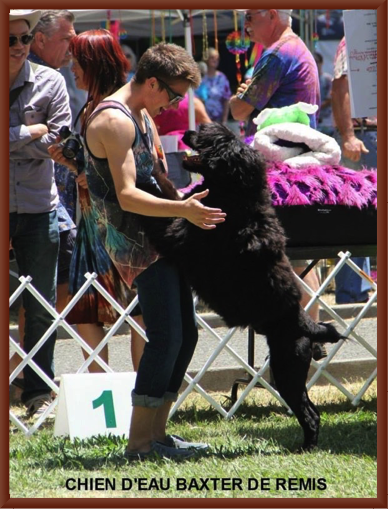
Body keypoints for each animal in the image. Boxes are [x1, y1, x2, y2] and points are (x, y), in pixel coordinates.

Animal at [140, 123, 342, 448]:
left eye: (213, 141)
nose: (187, 133)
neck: (235, 198)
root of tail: (304, 323)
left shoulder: (179, 236)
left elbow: (153, 211)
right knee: (312, 410)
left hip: (286, 366)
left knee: (310, 414)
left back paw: (306, 447)